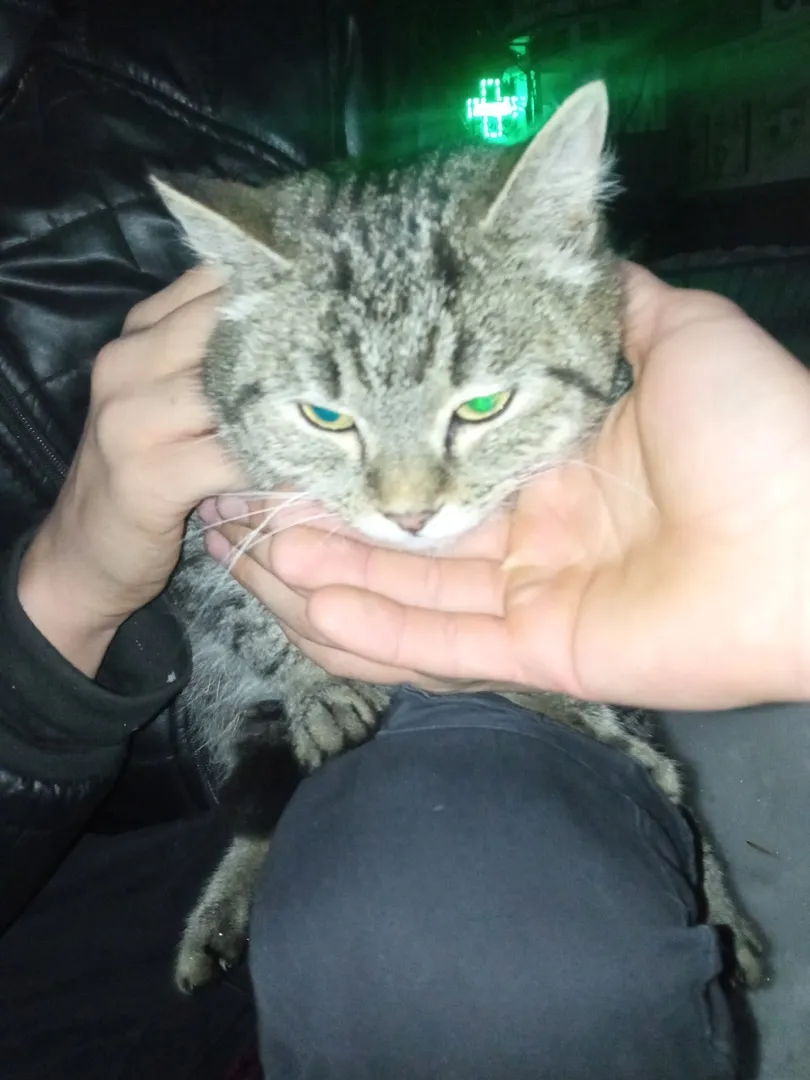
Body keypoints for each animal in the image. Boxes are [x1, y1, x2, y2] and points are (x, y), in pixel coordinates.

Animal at [154, 81, 765, 995]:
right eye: (326, 416)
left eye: (482, 406)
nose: (409, 513)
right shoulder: (194, 535)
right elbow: (244, 617)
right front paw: (314, 682)